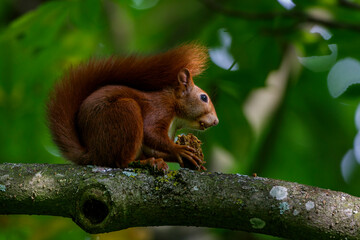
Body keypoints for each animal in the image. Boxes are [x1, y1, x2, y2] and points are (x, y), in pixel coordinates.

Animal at [46, 42, 218, 171]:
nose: (216, 122)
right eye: (204, 98)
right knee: (119, 162)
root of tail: (92, 153)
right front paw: (178, 149)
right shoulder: (160, 108)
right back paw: (145, 162)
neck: (176, 114)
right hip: (124, 113)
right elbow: (149, 131)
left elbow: (153, 148)